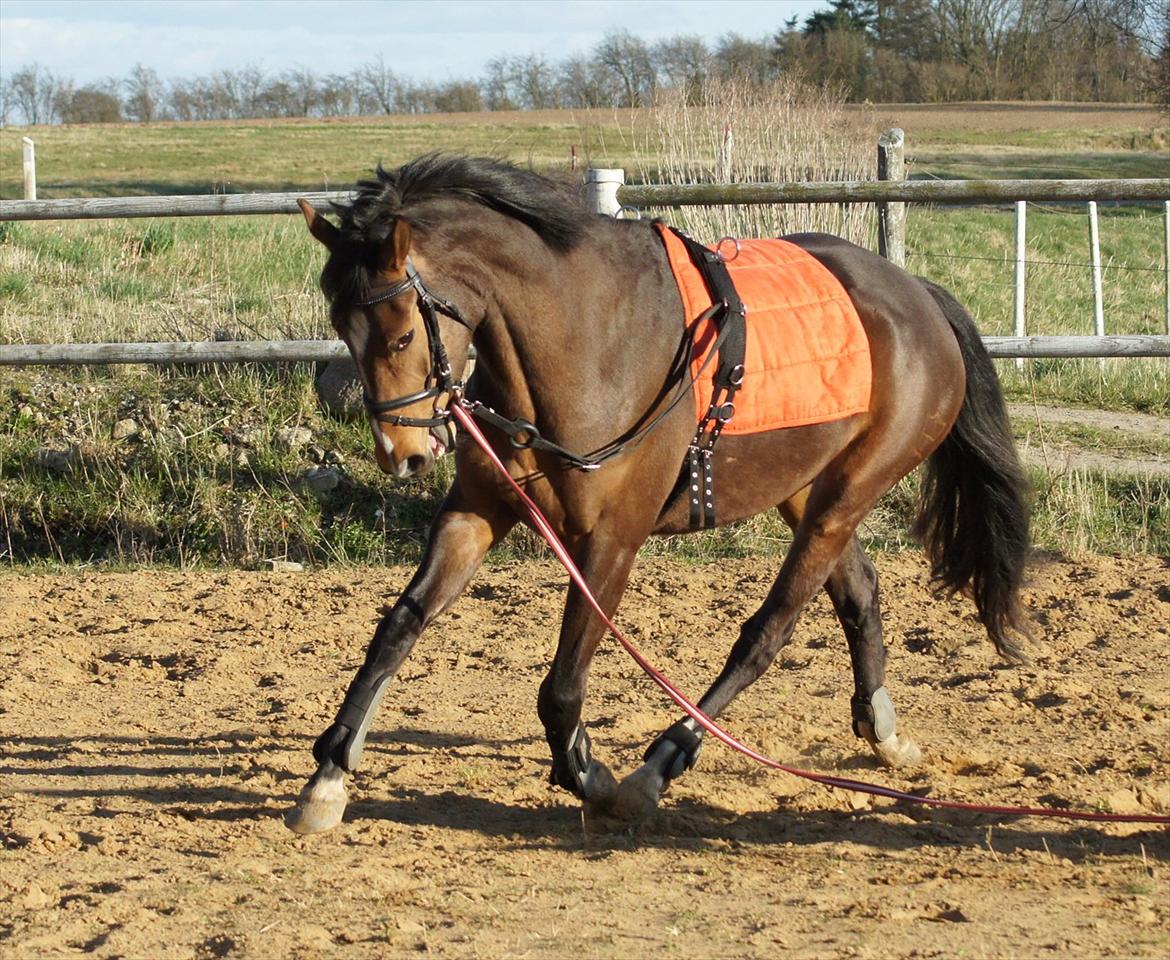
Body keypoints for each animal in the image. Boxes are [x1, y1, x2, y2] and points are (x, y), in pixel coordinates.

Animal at [287, 155, 1029, 832]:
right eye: (343, 327)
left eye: (401, 332)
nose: (403, 455)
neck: (586, 341)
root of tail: (919, 297)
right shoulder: (476, 511)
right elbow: (397, 628)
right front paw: (327, 777)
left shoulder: (611, 542)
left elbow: (560, 689)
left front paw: (592, 777)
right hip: (805, 490)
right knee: (858, 591)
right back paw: (883, 732)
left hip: (849, 491)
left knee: (768, 631)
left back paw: (661, 765)